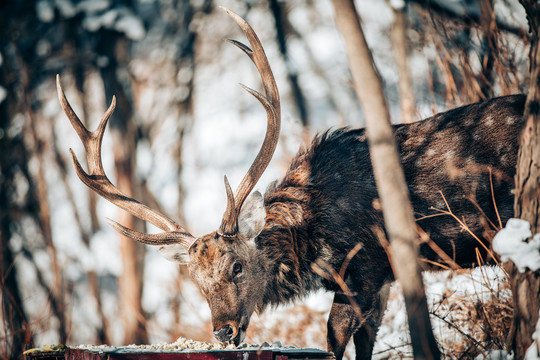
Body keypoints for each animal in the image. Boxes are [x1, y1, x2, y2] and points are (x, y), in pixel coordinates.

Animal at [57, 7, 524, 360]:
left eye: (237, 266)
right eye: (196, 281)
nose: (223, 331)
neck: (313, 240)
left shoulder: (365, 266)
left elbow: (335, 339)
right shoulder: (385, 278)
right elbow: (365, 343)